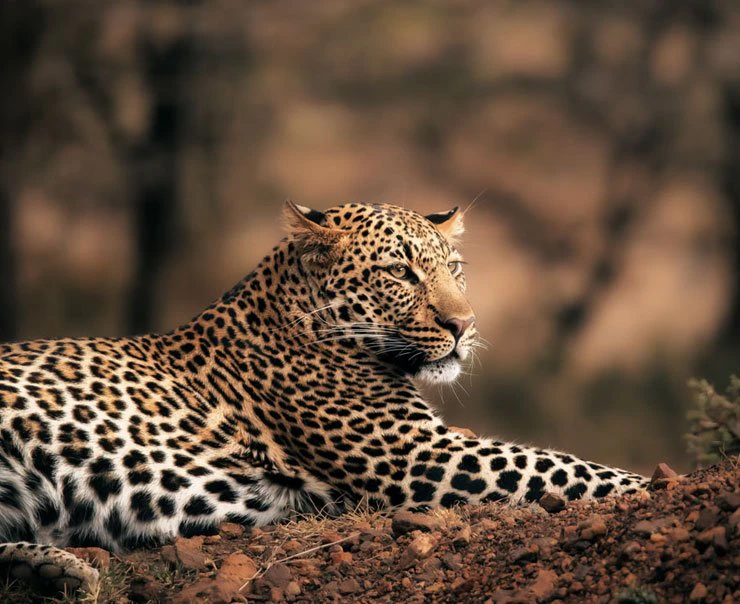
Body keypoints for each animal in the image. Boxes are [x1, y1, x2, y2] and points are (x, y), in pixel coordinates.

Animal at [0, 201, 649, 594]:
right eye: (400, 273)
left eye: (456, 268)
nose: (464, 325)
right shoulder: (422, 457)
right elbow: (562, 467)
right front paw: (650, 484)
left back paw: (56, 570)